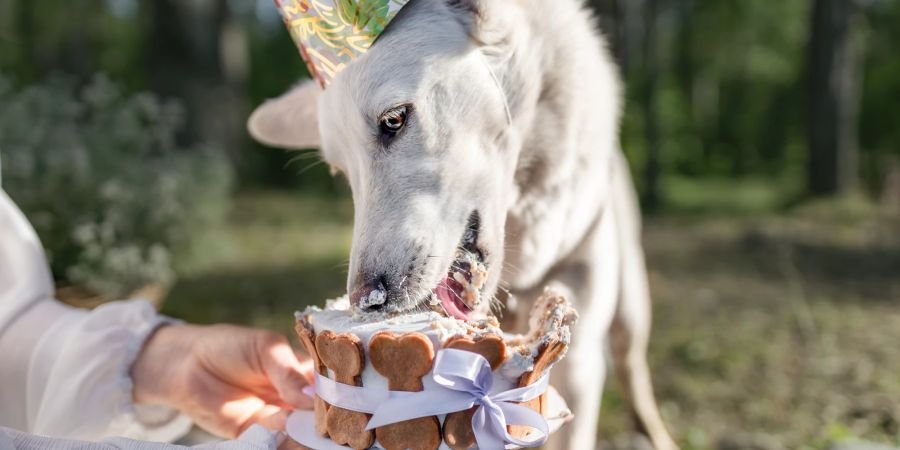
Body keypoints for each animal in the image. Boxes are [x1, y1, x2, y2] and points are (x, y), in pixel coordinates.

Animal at [246, 0, 676, 446]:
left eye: (394, 120)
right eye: (341, 170)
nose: (366, 302)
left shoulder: (580, 360)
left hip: (630, 311)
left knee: (633, 369)